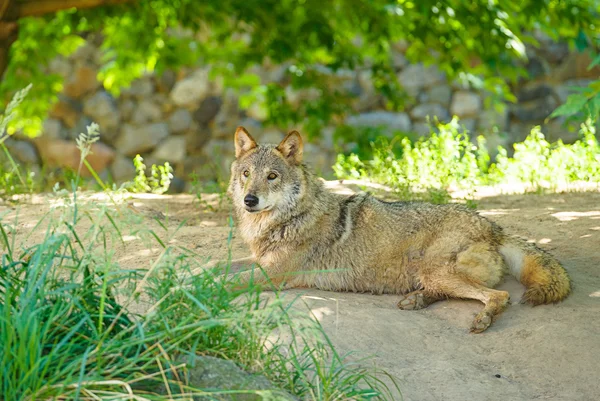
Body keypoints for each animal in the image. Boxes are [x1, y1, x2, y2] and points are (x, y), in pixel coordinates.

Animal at [221, 126, 572, 332]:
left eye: (272, 176)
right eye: (246, 174)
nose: (250, 200)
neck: (283, 220)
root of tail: (492, 225)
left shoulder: (275, 273)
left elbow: (230, 281)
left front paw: (207, 292)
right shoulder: (259, 261)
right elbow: (216, 266)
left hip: (433, 268)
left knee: (498, 295)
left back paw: (482, 318)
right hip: (429, 272)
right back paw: (416, 301)